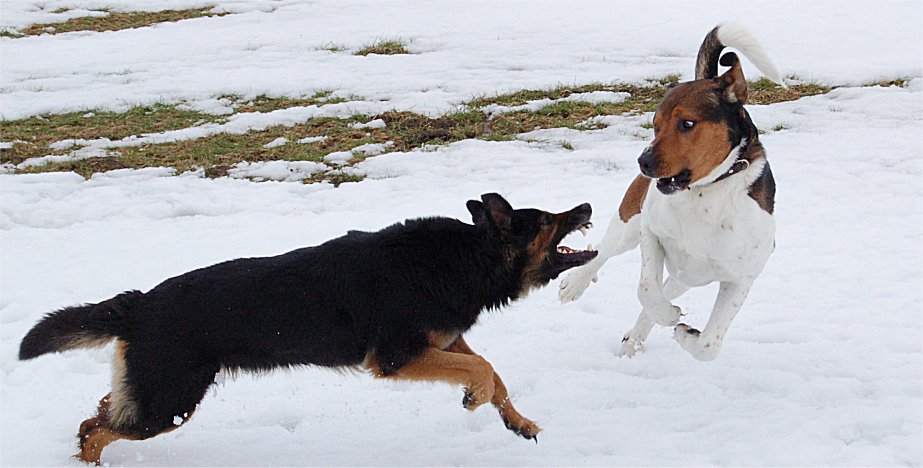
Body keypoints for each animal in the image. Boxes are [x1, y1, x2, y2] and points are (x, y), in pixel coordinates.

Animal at [23, 193, 600, 464]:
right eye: (547, 220)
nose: (588, 206)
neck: (467, 257)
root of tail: (139, 305)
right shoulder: (397, 358)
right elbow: (481, 370)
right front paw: (474, 399)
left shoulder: (443, 341)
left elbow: (492, 371)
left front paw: (516, 421)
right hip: (169, 404)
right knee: (99, 429)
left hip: (155, 394)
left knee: (98, 414)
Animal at [560, 23, 784, 362]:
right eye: (655, 125)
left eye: (687, 123)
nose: (643, 162)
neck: (705, 193)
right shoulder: (651, 233)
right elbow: (646, 290)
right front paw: (670, 316)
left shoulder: (739, 278)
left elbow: (708, 346)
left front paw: (684, 332)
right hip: (630, 223)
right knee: (604, 251)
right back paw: (575, 284)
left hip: (687, 275)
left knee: (665, 289)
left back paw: (636, 339)